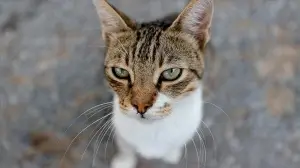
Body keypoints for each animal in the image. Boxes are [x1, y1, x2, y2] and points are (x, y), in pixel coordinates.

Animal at [92, 0, 214, 167]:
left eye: (171, 72)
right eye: (120, 72)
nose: (140, 106)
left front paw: (171, 154)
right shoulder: (121, 130)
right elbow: (125, 147)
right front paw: (124, 160)